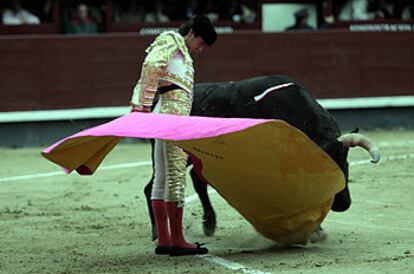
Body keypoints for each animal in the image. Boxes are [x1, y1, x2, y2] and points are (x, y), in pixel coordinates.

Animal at [142, 75, 378, 240]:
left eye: (345, 162)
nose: (343, 203)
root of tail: (157, 102)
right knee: (152, 187)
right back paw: (157, 232)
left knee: (196, 179)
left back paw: (209, 224)